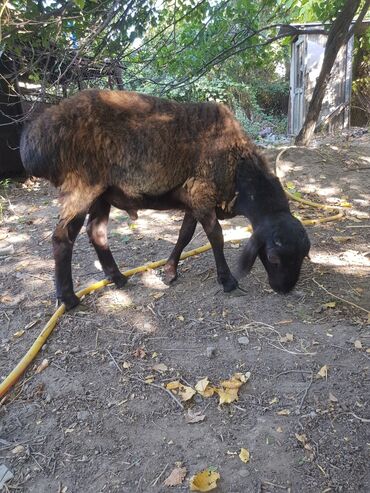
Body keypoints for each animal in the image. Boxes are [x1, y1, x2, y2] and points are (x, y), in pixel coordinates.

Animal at [19, 89, 310, 308]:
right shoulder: (202, 194)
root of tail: (36, 137)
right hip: (81, 186)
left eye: (303, 257)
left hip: (102, 194)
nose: (284, 289)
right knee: (62, 238)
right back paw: (68, 298)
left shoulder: (194, 200)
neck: (239, 168)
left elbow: (185, 235)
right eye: (273, 258)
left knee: (96, 231)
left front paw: (170, 271)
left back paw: (118, 278)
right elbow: (216, 237)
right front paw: (227, 280)